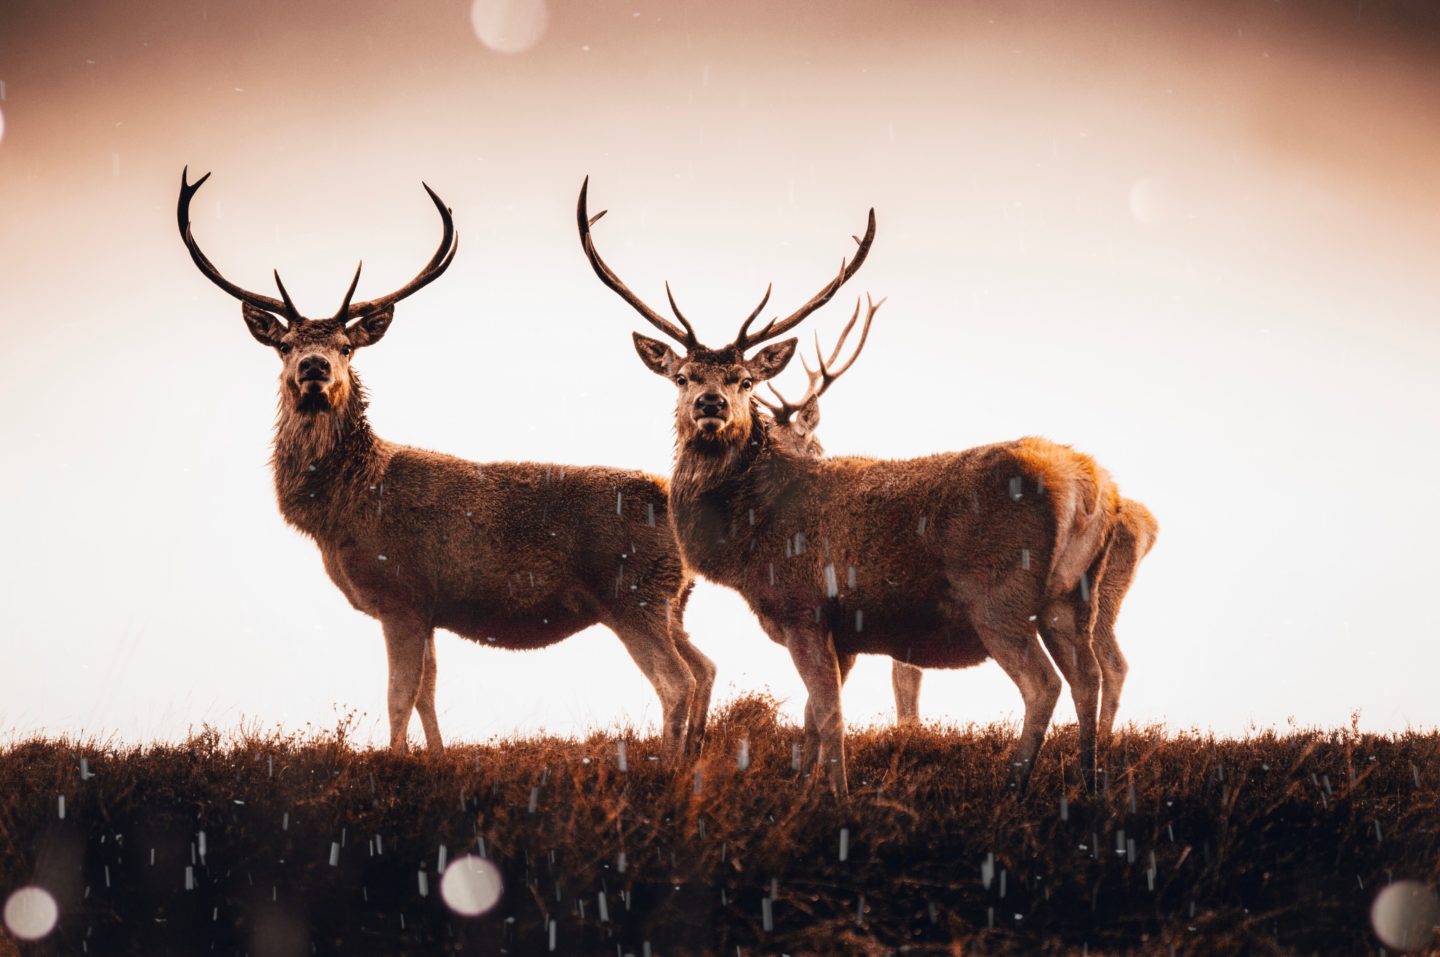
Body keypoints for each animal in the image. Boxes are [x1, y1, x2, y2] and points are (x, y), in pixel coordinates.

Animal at [177, 169, 715, 760]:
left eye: (346, 346)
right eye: (285, 344)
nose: (315, 366)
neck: (342, 508)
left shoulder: (402, 594)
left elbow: (398, 695)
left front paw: (397, 763)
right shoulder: (430, 608)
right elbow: (426, 693)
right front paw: (435, 758)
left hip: (633, 592)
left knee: (676, 680)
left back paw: (668, 764)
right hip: (673, 600)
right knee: (706, 667)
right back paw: (694, 753)